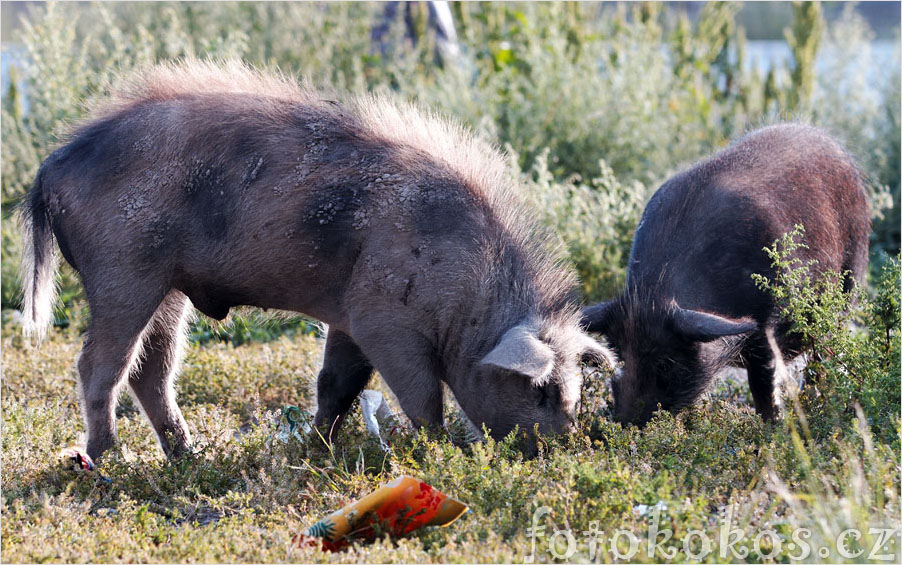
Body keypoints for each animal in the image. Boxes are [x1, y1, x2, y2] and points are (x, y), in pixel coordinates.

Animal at [584, 123, 872, 424]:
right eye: (618, 358)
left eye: (665, 364)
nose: (625, 423)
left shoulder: (768, 325)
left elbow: (763, 385)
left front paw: (774, 427)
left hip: (850, 278)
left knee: (823, 353)